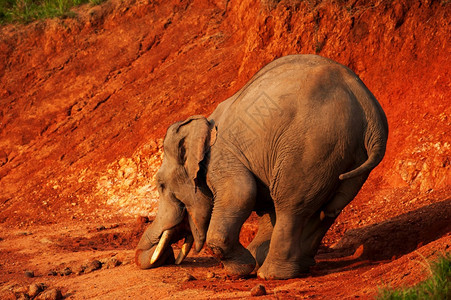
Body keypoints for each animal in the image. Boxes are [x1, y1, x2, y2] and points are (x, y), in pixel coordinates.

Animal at [134, 53, 388, 278]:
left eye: (161, 185)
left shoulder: (222, 158)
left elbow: (242, 193)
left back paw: (271, 275)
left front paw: (242, 269)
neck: (203, 123)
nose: (168, 257)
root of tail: (368, 109)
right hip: (347, 158)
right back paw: (299, 265)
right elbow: (264, 205)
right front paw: (254, 258)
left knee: (290, 204)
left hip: (312, 145)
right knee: (328, 209)